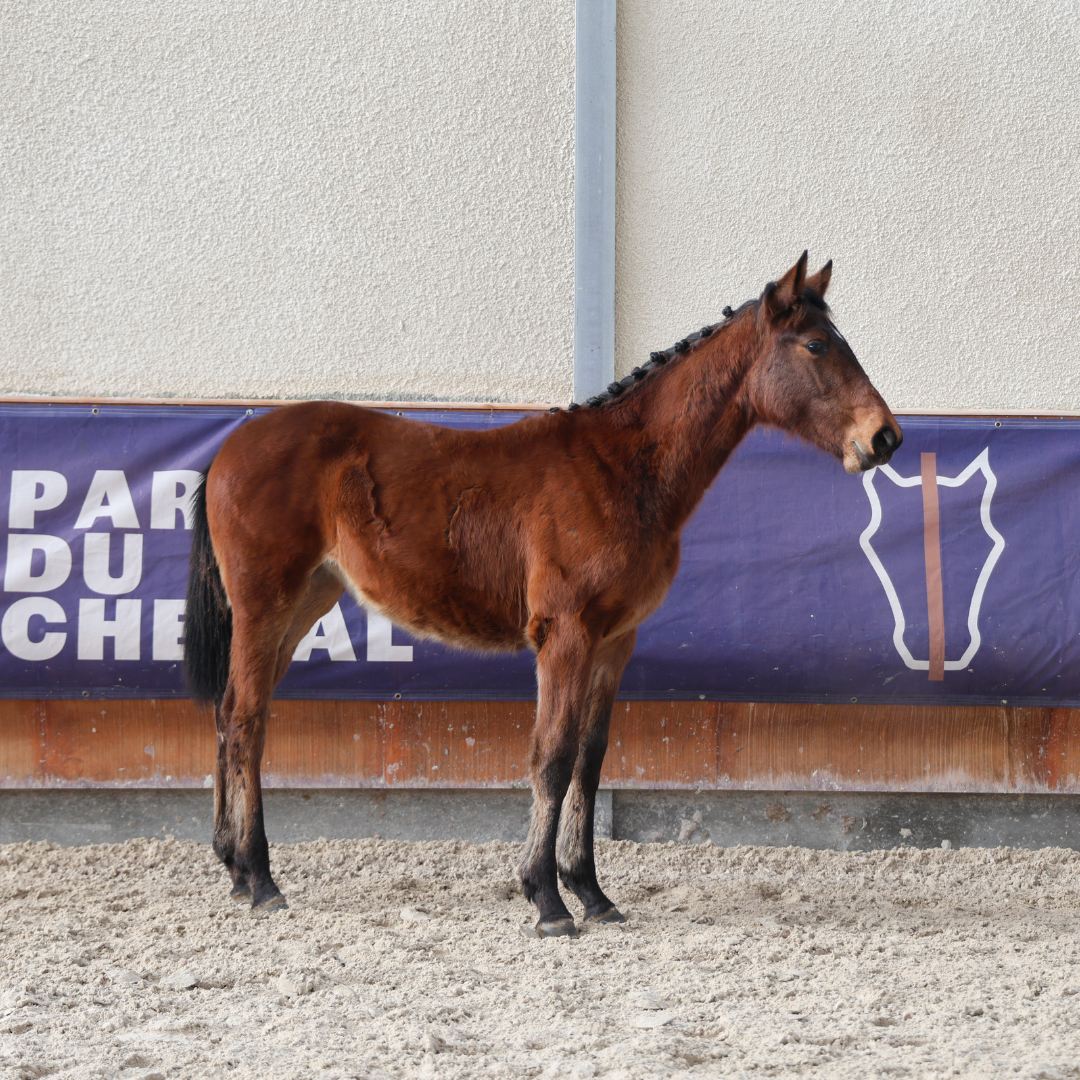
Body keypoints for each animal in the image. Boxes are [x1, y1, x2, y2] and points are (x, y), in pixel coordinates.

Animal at [184, 252, 901, 936]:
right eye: (816, 345)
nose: (885, 437)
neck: (621, 470)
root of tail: (229, 449)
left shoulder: (615, 641)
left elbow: (590, 757)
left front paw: (593, 894)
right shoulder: (566, 635)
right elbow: (551, 757)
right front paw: (548, 900)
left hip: (306, 602)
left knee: (230, 712)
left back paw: (233, 867)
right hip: (266, 604)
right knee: (245, 719)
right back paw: (261, 878)